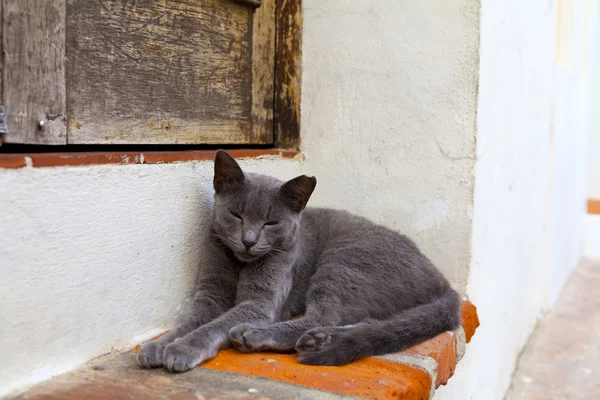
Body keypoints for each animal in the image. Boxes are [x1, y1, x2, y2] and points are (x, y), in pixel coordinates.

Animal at [138, 150, 462, 372]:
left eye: (271, 222)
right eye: (236, 215)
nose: (249, 240)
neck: (240, 265)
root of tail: (443, 281)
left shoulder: (260, 303)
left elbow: (212, 326)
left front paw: (182, 349)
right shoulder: (210, 295)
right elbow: (191, 320)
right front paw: (158, 346)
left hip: (345, 259)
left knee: (324, 315)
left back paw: (261, 335)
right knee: (367, 320)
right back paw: (320, 340)